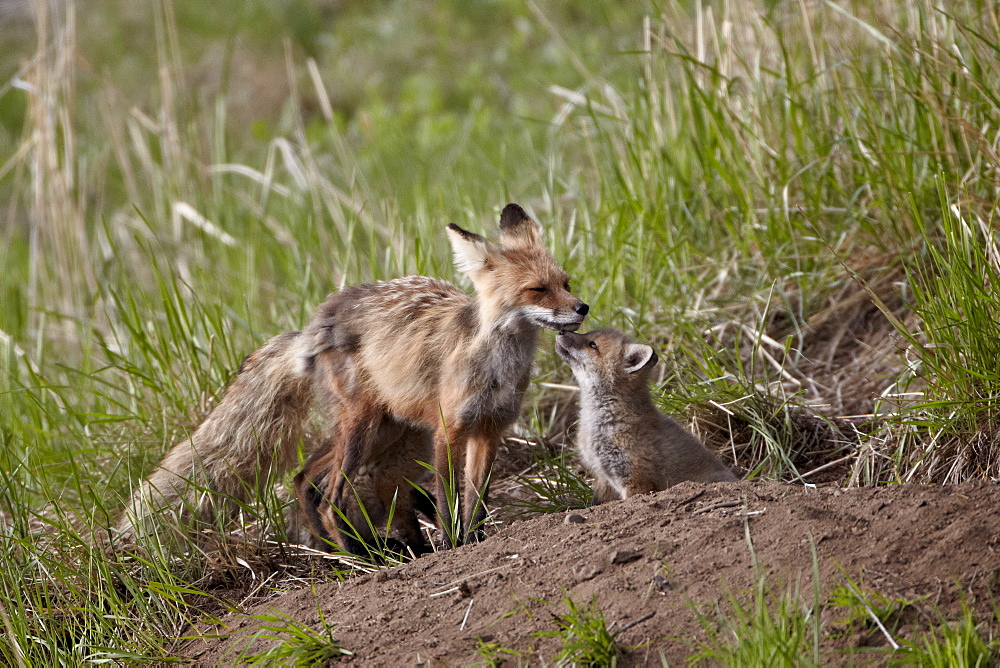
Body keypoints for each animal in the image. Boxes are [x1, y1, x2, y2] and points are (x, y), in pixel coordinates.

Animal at [117, 205, 584, 560]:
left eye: (565, 283)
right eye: (537, 290)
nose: (582, 307)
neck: (495, 367)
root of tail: (315, 324)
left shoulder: (490, 428)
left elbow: (477, 499)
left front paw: (475, 539)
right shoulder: (448, 430)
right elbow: (450, 497)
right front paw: (454, 544)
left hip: (383, 429)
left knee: (304, 477)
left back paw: (339, 553)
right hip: (363, 427)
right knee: (329, 495)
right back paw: (362, 556)